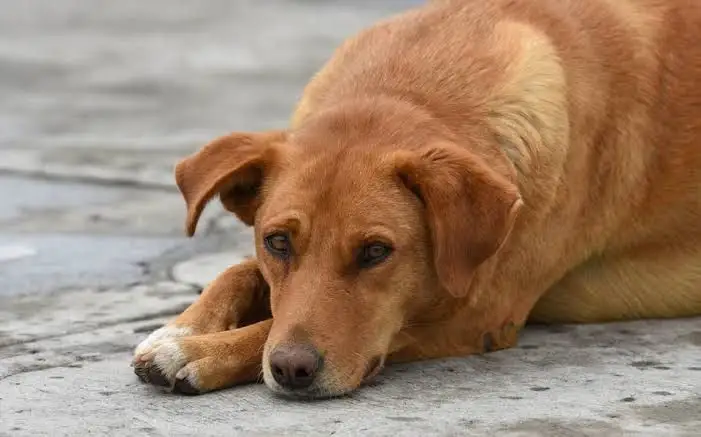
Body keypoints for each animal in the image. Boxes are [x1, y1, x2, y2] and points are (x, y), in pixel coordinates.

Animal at [131, 0, 700, 398]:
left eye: (376, 252)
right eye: (277, 243)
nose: (292, 369)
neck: (410, 88)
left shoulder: (473, 313)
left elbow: (272, 323)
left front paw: (201, 351)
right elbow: (239, 274)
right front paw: (180, 330)